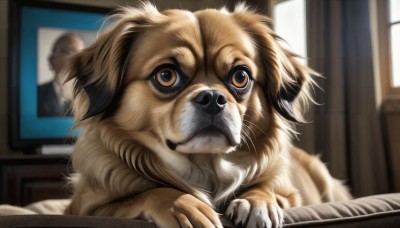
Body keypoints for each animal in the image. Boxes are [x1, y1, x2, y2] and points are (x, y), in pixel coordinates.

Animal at [58, 3, 350, 228]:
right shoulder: (82, 207)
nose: (212, 98)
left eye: (241, 76)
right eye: (166, 75)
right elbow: (146, 194)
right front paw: (184, 207)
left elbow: (267, 187)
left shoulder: (290, 194)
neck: (204, 166)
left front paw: (256, 203)